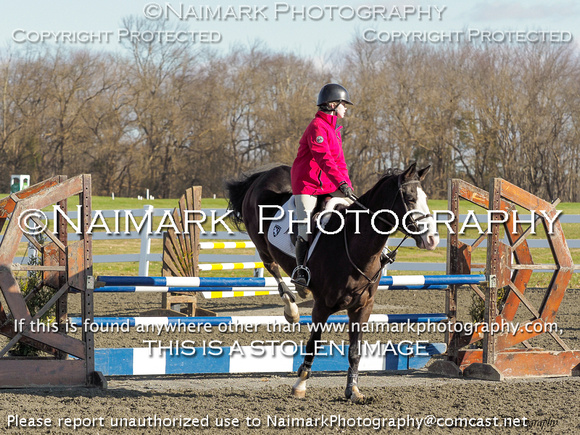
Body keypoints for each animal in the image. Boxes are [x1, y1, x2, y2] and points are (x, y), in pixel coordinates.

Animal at [227, 163, 440, 402]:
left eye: (425, 198)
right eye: (410, 198)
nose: (432, 239)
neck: (354, 248)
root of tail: (265, 174)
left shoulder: (362, 308)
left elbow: (355, 351)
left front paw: (353, 390)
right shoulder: (322, 307)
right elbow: (314, 344)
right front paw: (300, 384)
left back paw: (300, 292)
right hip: (261, 244)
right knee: (273, 268)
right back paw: (292, 309)